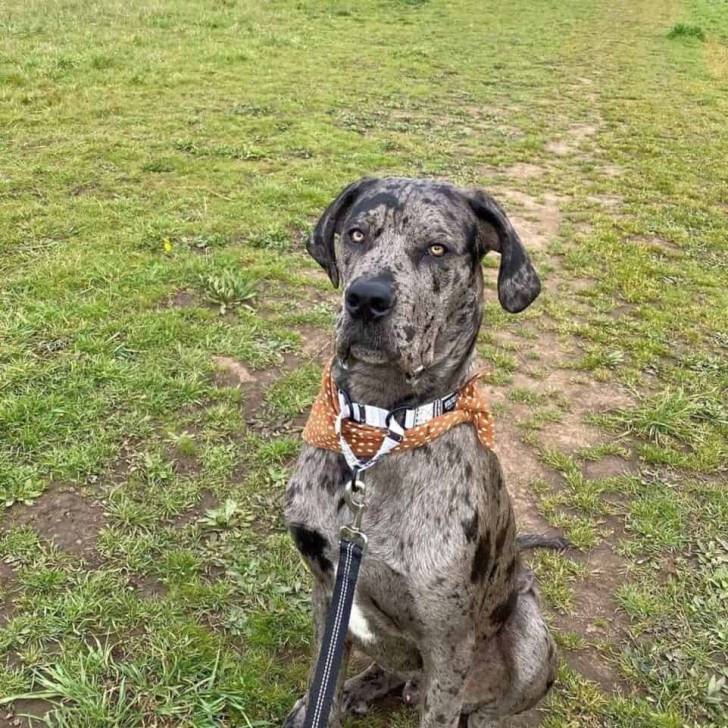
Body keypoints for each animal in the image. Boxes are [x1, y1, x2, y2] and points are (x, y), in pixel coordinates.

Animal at [282, 178, 556, 728]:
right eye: (357, 233)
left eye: (437, 249)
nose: (366, 299)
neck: (376, 432)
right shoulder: (326, 591)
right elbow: (322, 675)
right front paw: (320, 703)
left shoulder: (449, 644)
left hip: (532, 635)